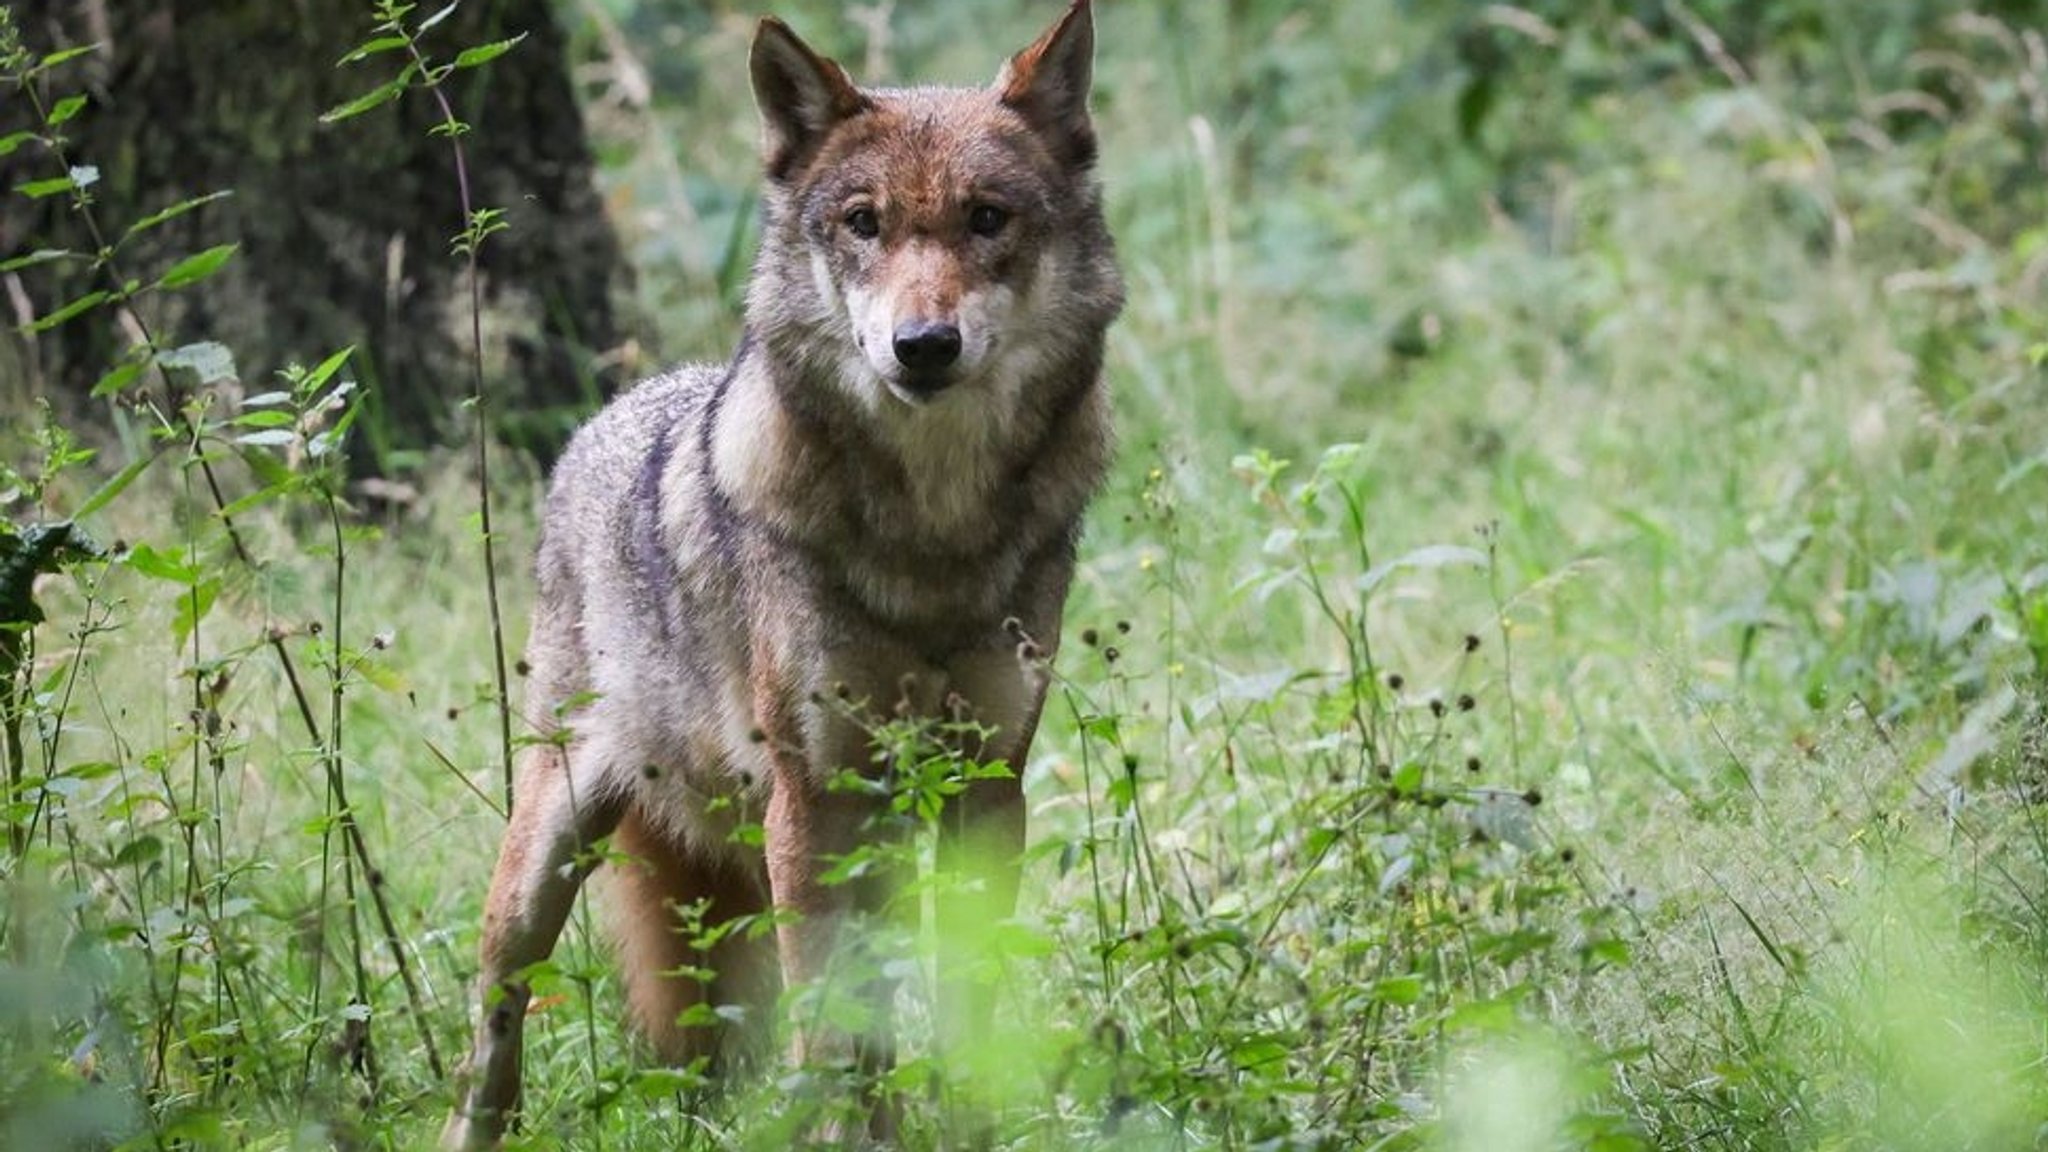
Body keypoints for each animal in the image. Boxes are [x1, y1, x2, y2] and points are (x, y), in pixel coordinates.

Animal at [440, 4, 1130, 1139]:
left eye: (987, 219)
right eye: (862, 223)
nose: (923, 345)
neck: (932, 534)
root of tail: (602, 419)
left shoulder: (987, 789)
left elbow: (965, 1013)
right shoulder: (812, 804)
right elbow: (829, 1031)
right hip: (548, 852)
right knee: (494, 1031)